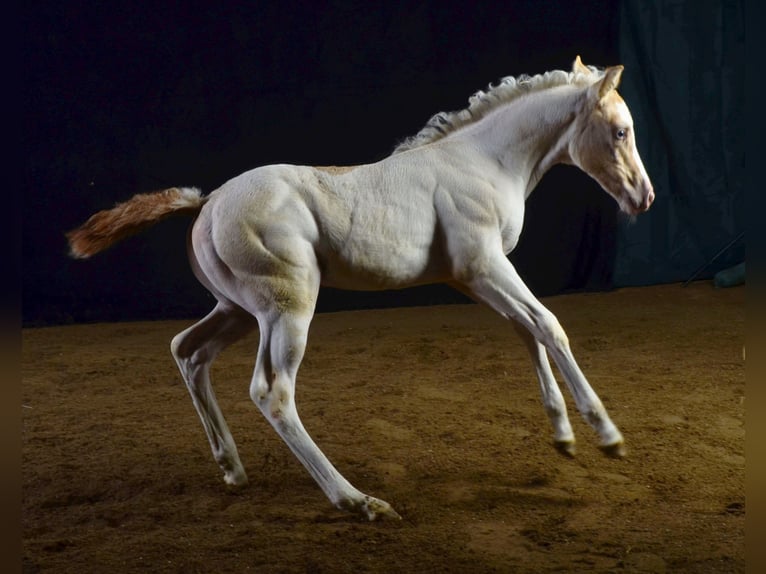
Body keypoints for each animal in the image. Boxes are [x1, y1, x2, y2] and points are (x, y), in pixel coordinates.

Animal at [66, 56, 654, 520]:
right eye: (621, 131)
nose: (644, 198)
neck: (485, 161)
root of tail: (207, 202)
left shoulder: (477, 276)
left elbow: (525, 330)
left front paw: (563, 436)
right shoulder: (484, 266)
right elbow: (549, 326)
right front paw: (607, 435)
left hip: (236, 309)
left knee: (188, 352)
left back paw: (232, 467)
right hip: (287, 309)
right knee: (272, 392)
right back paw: (358, 501)